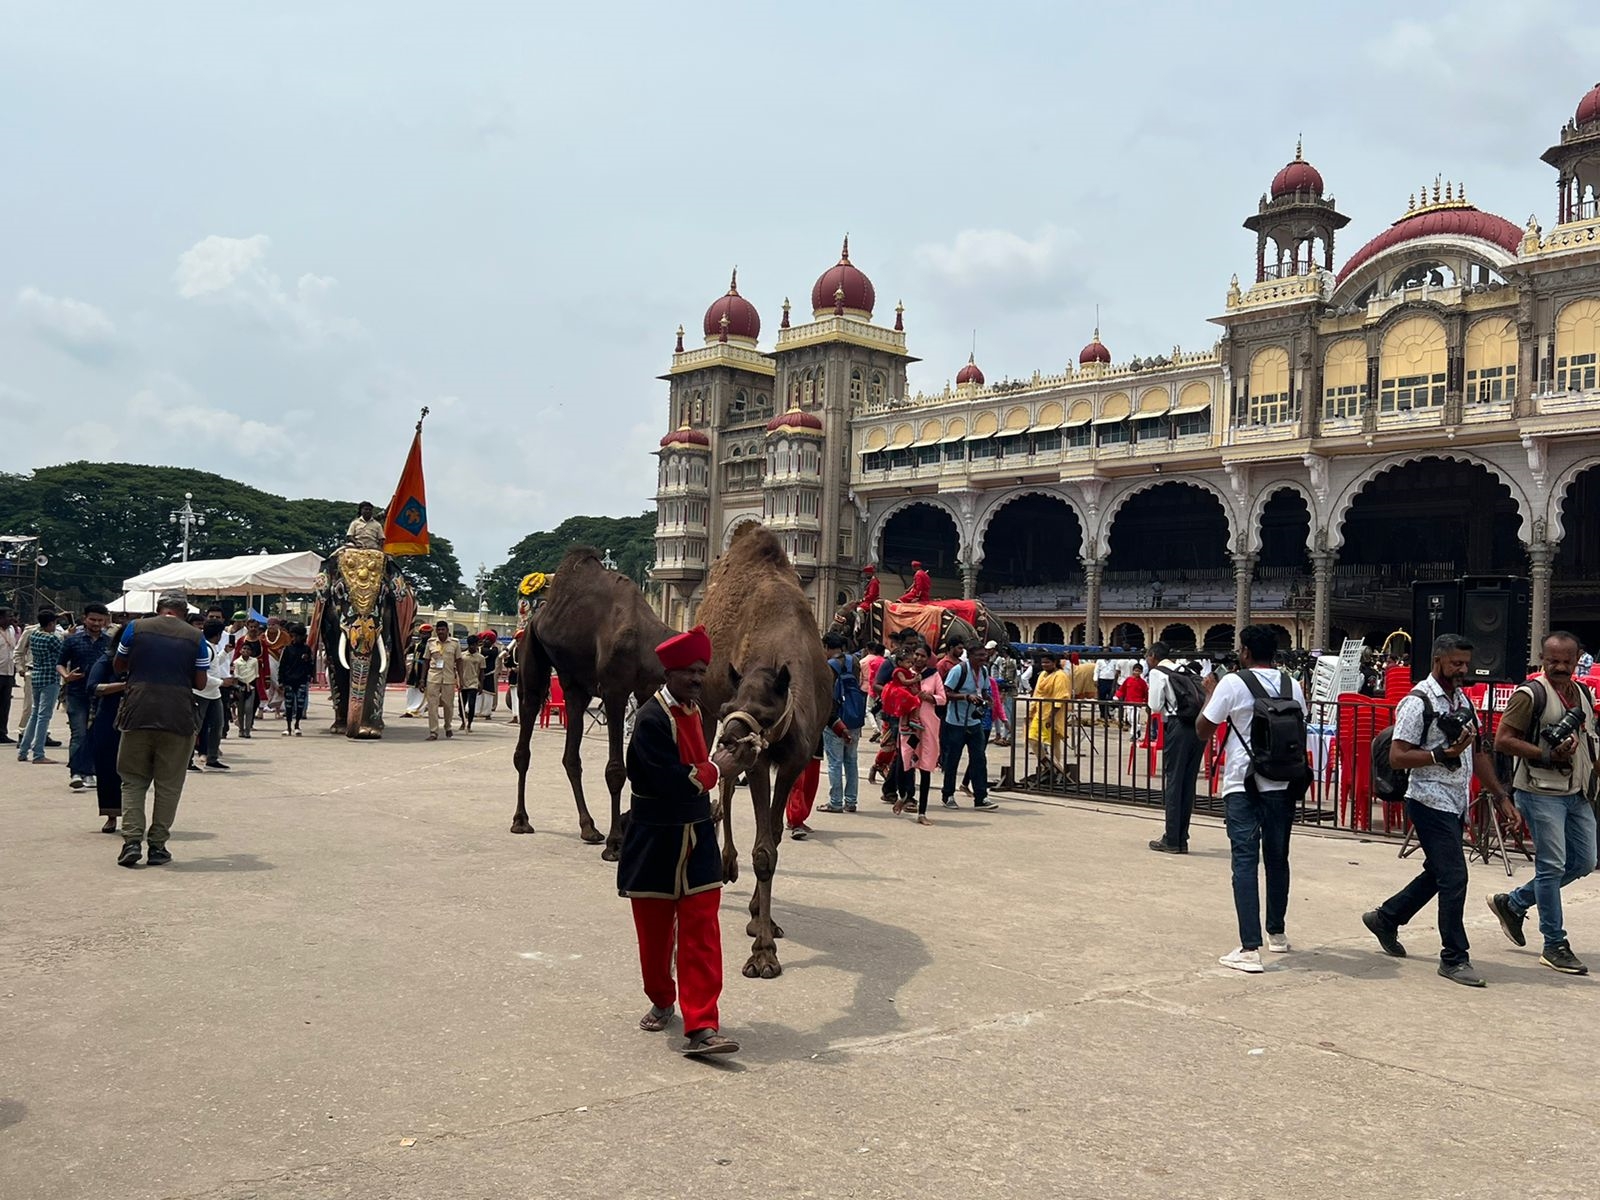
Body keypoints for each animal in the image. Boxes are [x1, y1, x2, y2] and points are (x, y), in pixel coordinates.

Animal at [308, 550, 416, 739]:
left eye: (383, 594)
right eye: (339, 592)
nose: (352, 734)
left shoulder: (387, 617)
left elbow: (379, 662)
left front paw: (368, 732)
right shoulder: (328, 618)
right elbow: (336, 660)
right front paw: (339, 730)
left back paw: (379, 726)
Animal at [505, 544, 668, 857]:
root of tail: (538, 615)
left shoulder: (646, 690)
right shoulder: (615, 690)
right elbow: (616, 769)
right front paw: (616, 843)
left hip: (574, 685)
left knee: (571, 754)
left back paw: (589, 828)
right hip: (530, 647)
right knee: (528, 717)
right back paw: (520, 820)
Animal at [694, 524, 832, 979]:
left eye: (766, 713)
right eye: (729, 707)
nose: (728, 746)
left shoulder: (793, 759)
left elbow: (773, 838)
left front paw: (763, 921)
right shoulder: (754, 760)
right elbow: (762, 849)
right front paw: (763, 954)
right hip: (699, 709)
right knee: (722, 792)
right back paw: (724, 865)